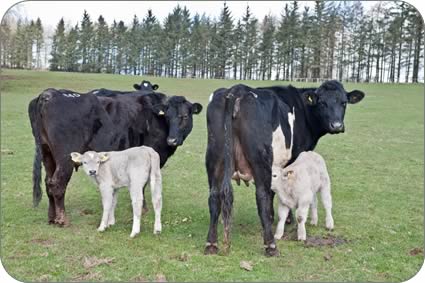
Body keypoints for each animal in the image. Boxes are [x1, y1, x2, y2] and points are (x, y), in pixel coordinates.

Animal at [29, 89, 201, 226]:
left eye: (185, 116)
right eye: (167, 117)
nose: (172, 140)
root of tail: (49, 94)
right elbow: (142, 183)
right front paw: (143, 207)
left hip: (48, 155)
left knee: (48, 183)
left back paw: (51, 217)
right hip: (65, 159)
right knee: (57, 184)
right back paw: (62, 219)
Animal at [204, 80, 362, 258]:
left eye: (344, 102)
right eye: (322, 103)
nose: (336, 126)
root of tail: (237, 90)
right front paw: (286, 219)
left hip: (214, 159)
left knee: (214, 197)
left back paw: (211, 244)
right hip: (260, 160)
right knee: (262, 196)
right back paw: (270, 245)